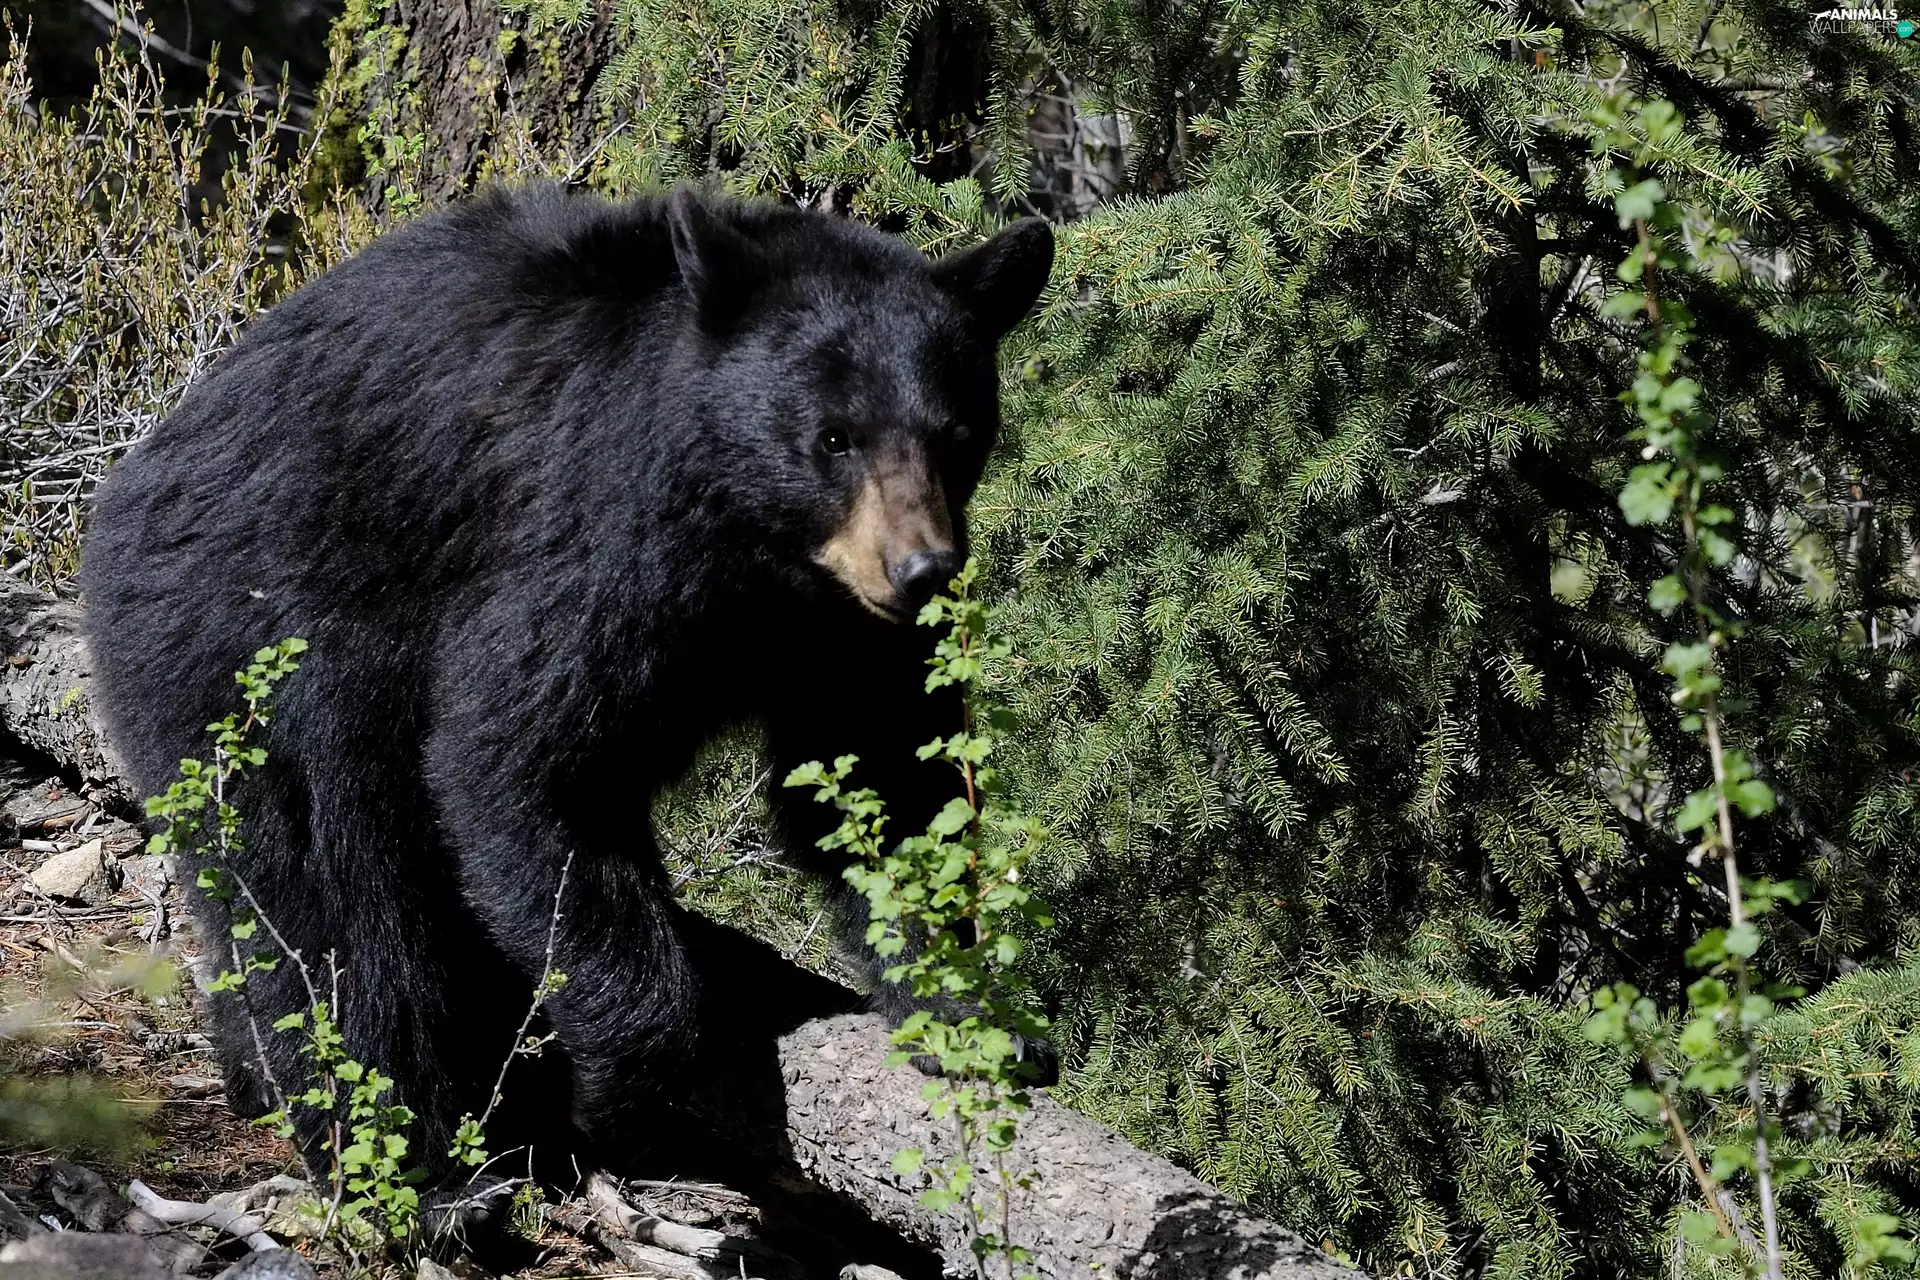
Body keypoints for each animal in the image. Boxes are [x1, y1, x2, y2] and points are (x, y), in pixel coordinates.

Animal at [79, 183, 1054, 1191]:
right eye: (834, 436)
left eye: (958, 436)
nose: (921, 571)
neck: (752, 549)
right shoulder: (592, 528)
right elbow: (517, 758)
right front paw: (637, 1087)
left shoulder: (838, 627)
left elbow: (883, 777)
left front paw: (970, 1012)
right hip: (247, 636)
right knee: (329, 901)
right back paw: (405, 1156)